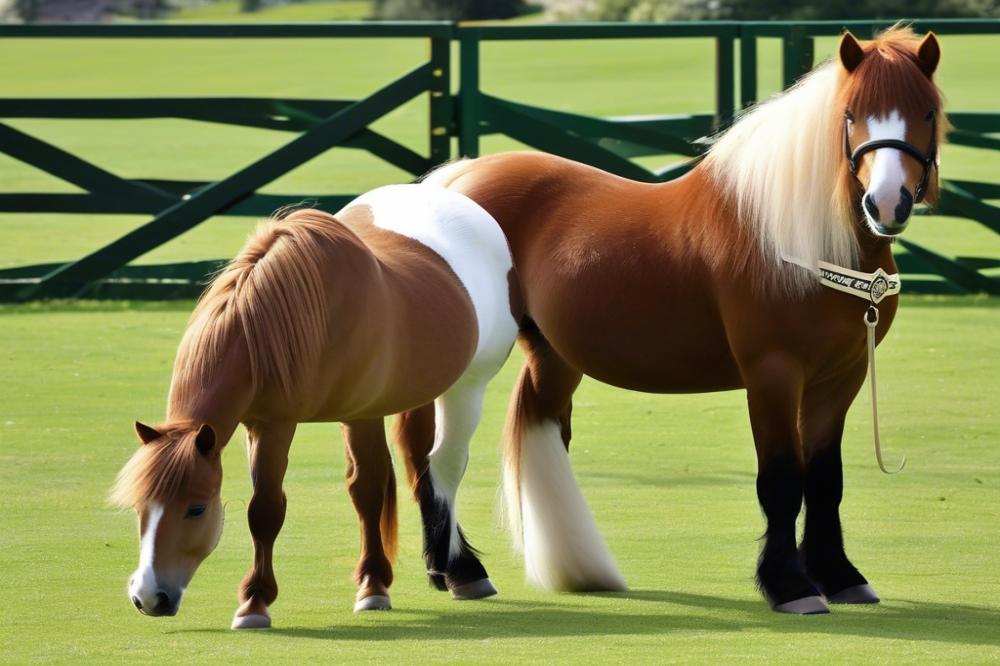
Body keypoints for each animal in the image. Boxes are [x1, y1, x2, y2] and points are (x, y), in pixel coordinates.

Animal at [110, 183, 520, 628]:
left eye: (197, 509)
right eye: (139, 506)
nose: (149, 597)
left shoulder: (314, 419)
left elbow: (278, 508)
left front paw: (258, 602)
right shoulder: (263, 424)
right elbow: (352, 493)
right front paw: (372, 583)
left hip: (467, 386)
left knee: (445, 467)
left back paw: (464, 571)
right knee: (420, 465)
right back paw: (442, 569)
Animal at [428, 29, 944, 612]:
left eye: (927, 111)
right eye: (851, 114)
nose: (887, 203)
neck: (795, 237)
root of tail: (457, 178)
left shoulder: (841, 377)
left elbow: (824, 478)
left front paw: (838, 575)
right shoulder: (772, 374)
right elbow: (782, 478)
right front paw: (791, 585)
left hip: (553, 357)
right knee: (437, 455)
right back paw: (462, 570)